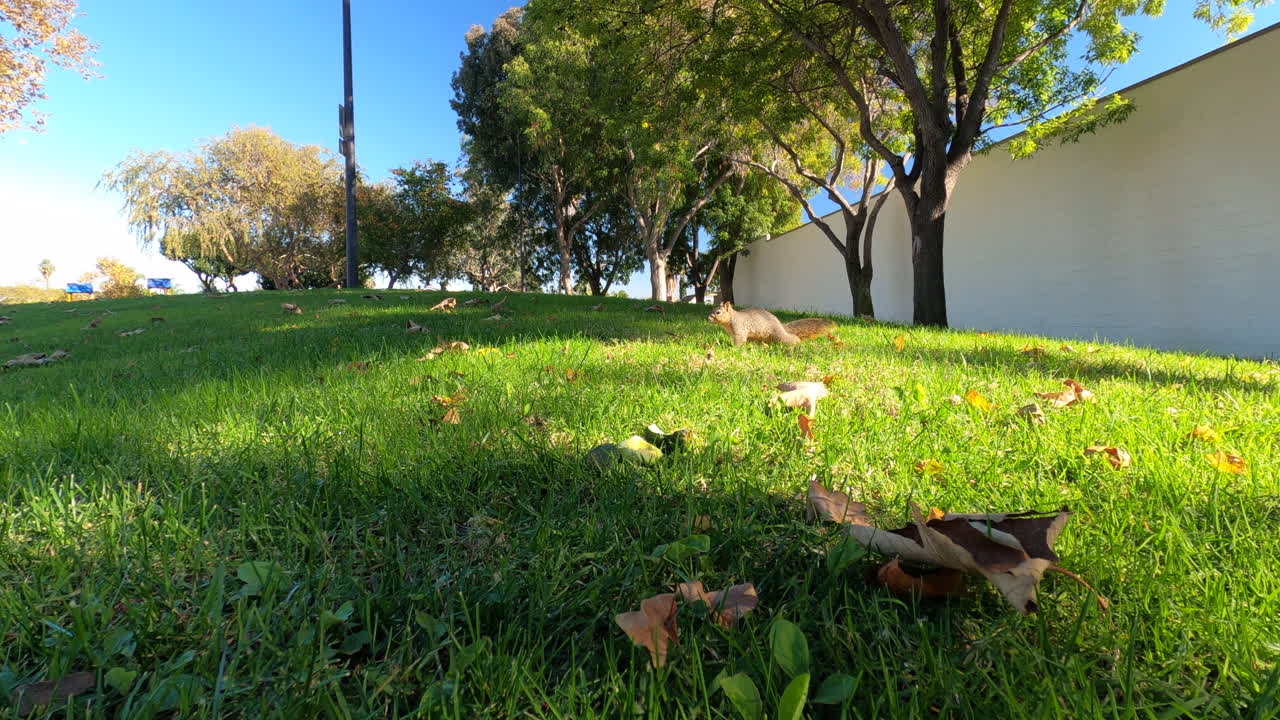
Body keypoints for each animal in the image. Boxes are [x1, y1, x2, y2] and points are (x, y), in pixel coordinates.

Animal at [707, 302, 837, 346]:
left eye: (718, 312)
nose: (708, 318)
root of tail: (780, 325)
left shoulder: (740, 329)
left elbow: (740, 339)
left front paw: (734, 348)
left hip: (778, 335)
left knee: (789, 338)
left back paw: (796, 343)